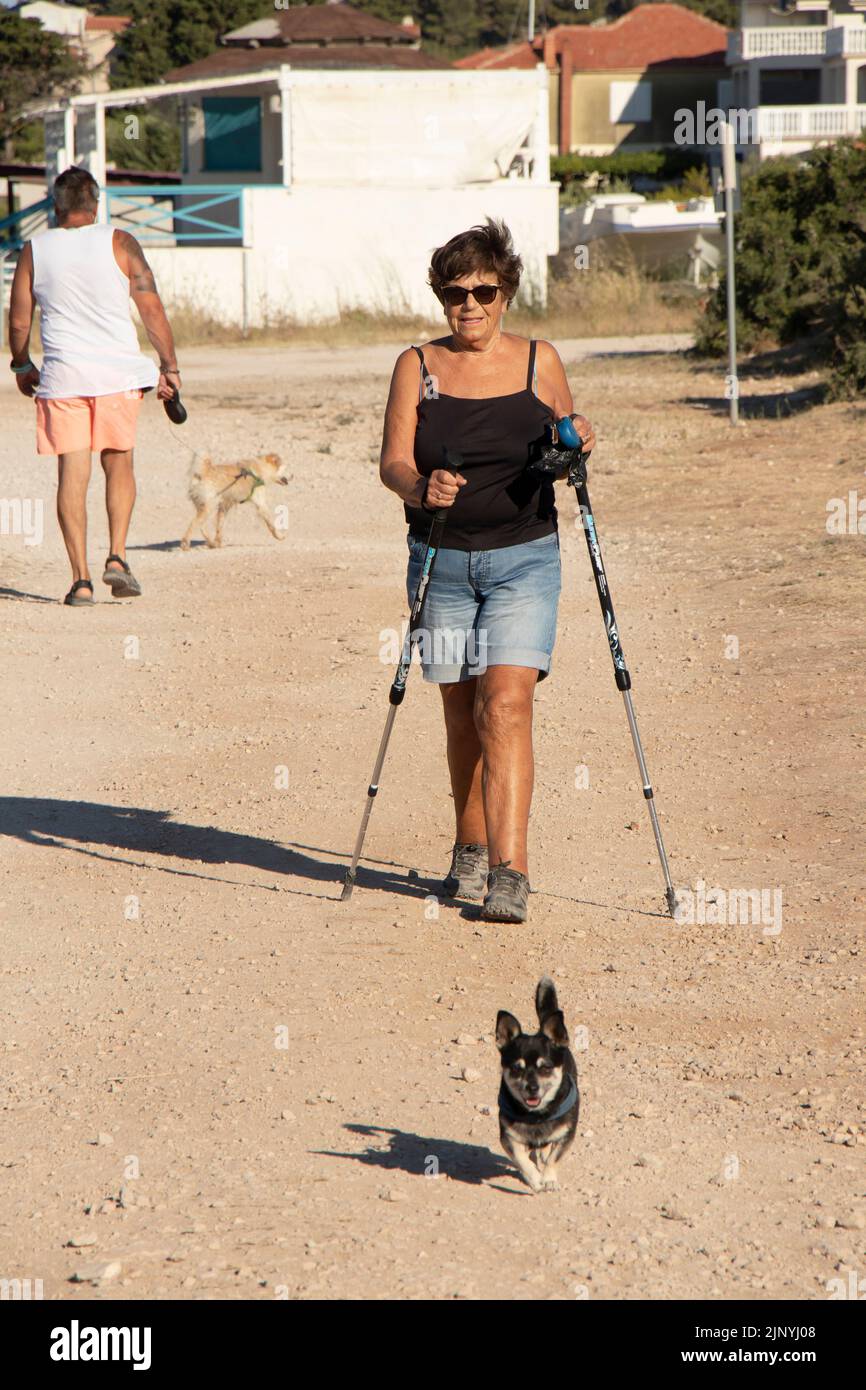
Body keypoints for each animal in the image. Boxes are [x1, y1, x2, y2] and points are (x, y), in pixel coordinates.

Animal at [497, 978, 578, 1195]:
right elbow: (521, 1160)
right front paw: (534, 1179)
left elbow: (553, 1158)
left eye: (546, 1068)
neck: (536, 1116)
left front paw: (548, 1179)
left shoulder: (566, 1135)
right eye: (516, 1068)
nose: (531, 1087)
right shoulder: (508, 1137)